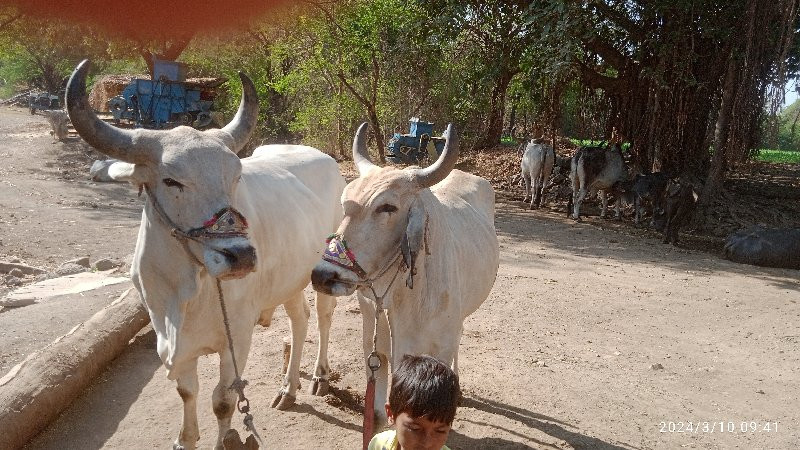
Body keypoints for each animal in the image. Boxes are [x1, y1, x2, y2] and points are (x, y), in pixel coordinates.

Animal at [65, 60, 344, 450]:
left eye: (236, 176)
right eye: (171, 181)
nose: (241, 257)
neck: (184, 289)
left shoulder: (236, 339)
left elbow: (223, 401)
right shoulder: (173, 340)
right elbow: (187, 392)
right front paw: (186, 438)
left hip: (325, 273)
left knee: (323, 316)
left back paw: (319, 375)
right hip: (289, 279)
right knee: (299, 318)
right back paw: (288, 388)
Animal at [310, 121, 496, 428]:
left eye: (388, 207)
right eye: (344, 202)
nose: (323, 276)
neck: (403, 297)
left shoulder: (439, 347)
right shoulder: (375, 346)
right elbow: (378, 410)